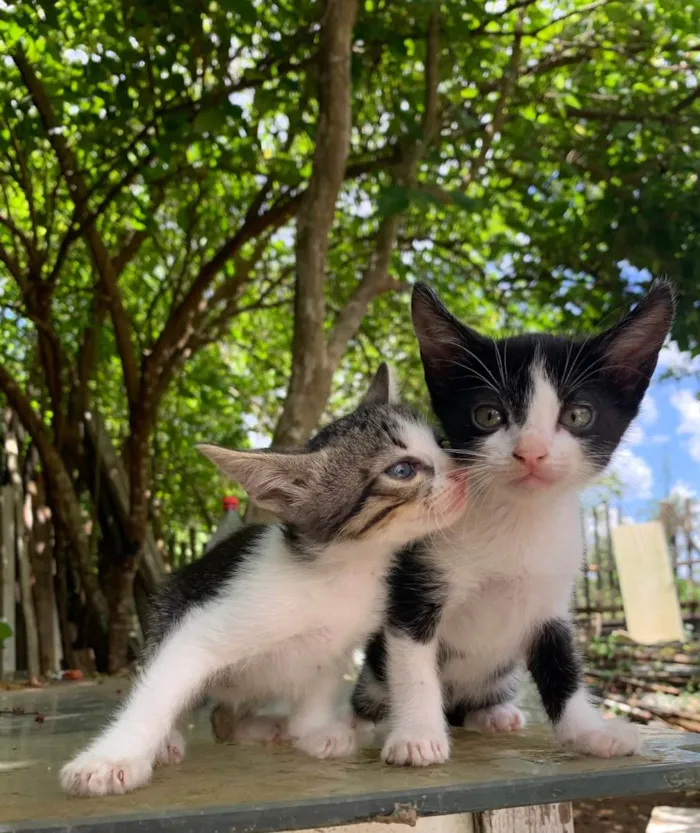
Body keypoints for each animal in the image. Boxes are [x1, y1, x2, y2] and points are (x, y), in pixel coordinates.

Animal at [58, 364, 464, 792]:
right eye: (402, 470)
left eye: (441, 442)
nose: (462, 472)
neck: (341, 572)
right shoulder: (199, 629)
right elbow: (159, 690)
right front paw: (110, 759)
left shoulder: (338, 644)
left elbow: (319, 682)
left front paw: (313, 730)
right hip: (168, 613)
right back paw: (170, 741)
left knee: (223, 717)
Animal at [352, 282, 676, 764]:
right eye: (489, 415)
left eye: (578, 415)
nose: (532, 452)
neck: (518, 520)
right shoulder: (415, 586)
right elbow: (413, 664)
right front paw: (416, 736)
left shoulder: (551, 601)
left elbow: (563, 666)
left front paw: (590, 732)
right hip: (375, 665)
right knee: (373, 690)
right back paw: (359, 724)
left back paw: (493, 714)